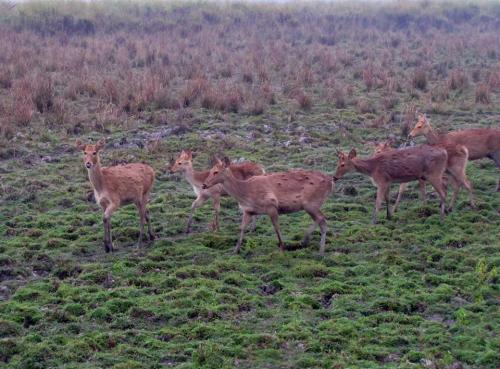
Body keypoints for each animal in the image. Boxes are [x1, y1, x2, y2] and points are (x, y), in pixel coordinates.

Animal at [201, 157, 334, 254]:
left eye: (216, 172)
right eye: (210, 170)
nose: (204, 185)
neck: (245, 193)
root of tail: (331, 182)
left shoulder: (271, 206)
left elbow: (276, 227)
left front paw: (282, 248)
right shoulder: (248, 211)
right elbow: (242, 228)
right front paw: (235, 250)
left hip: (311, 203)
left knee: (322, 220)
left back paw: (311, 244)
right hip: (312, 205)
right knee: (322, 221)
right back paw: (317, 248)